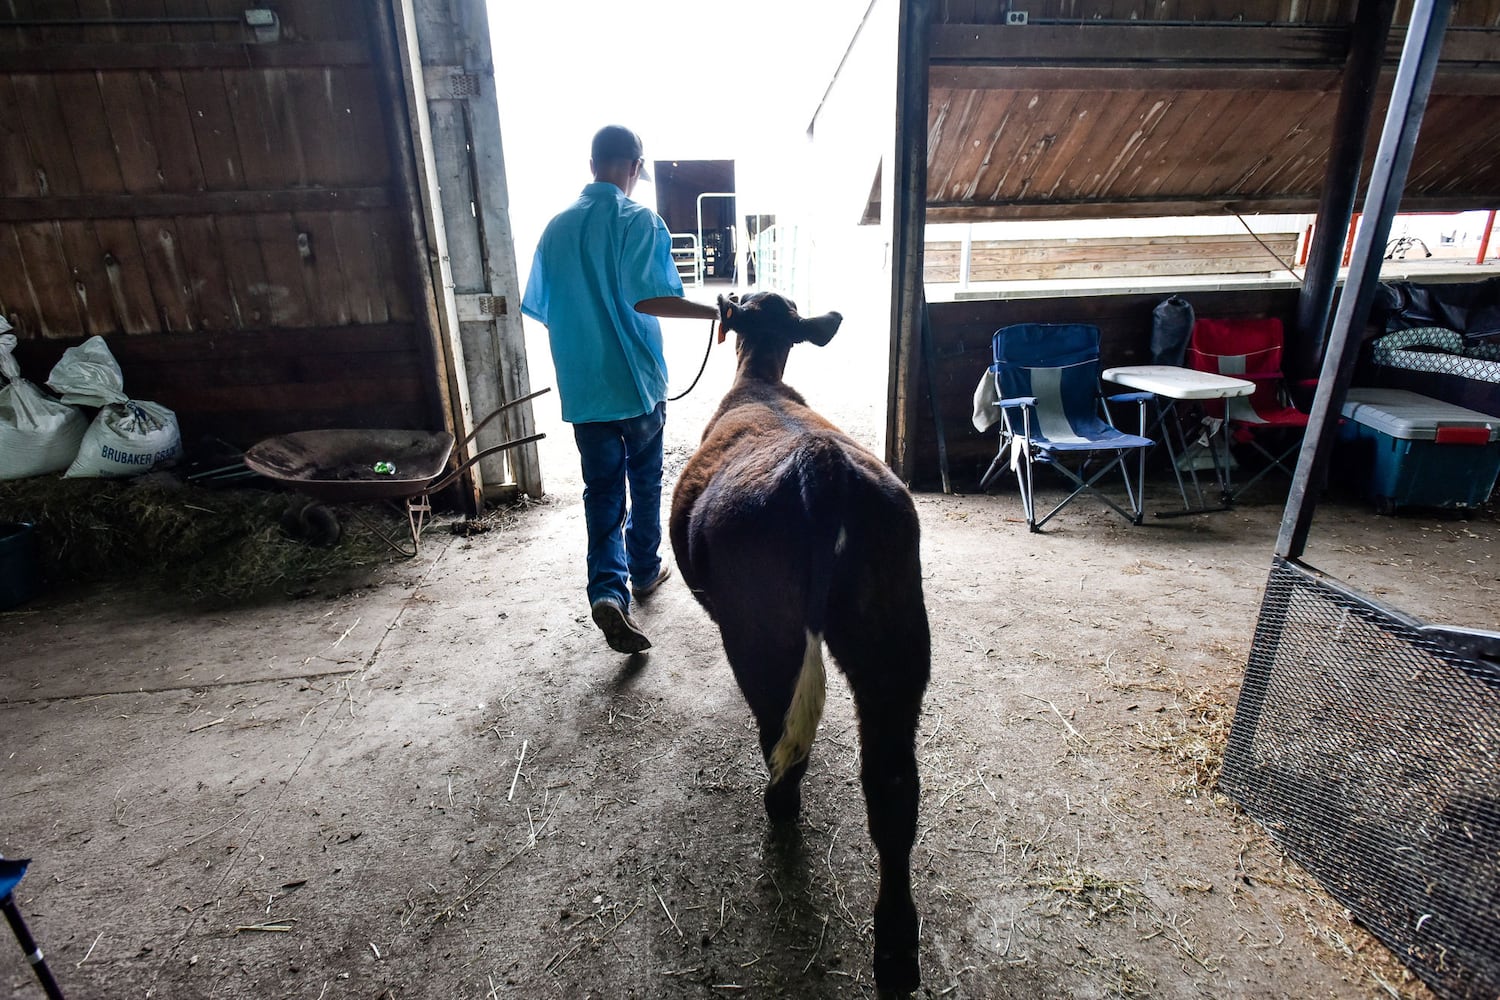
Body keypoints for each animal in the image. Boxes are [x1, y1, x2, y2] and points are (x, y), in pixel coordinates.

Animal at [669, 289, 924, 995]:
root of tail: (822, 465)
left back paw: (778, 805)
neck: (759, 381)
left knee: (781, 731)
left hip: (762, 634)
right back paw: (896, 953)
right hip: (892, 637)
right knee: (892, 785)